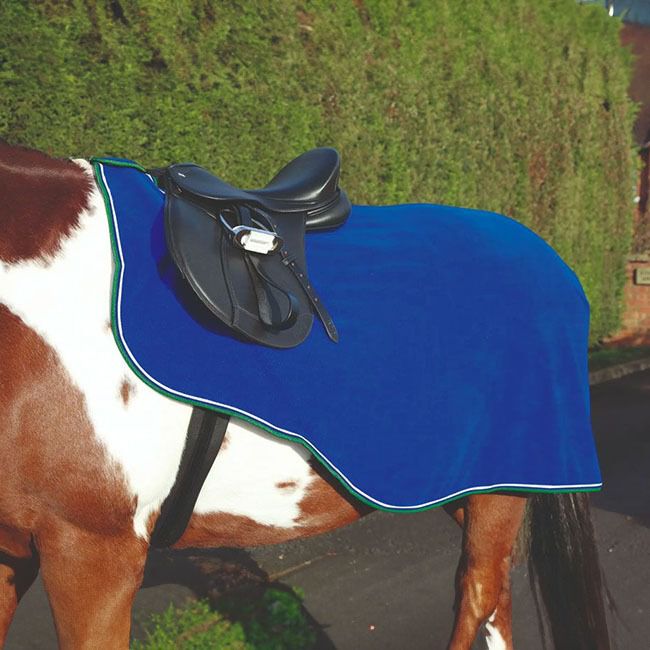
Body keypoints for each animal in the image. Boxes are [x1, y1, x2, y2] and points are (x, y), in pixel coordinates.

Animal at [0, 140, 610, 649]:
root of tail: (551, 259)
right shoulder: (15, 553)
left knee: (477, 594)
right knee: (496, 600)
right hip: (470, 486)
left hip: (504, 488)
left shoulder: (94, 552)